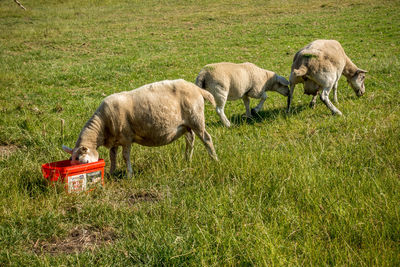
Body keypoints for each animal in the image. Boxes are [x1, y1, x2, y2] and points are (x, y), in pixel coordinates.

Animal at [61, 79, 219, 178]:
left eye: (84, 162)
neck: (102, 125)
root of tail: (197, 89)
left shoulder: (126, 137)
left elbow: (125, 156)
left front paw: (129, 175)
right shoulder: (115, 140)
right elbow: (112, 156)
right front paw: (111, 172)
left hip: (196, 119)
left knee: (207, 139)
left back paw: (214, 160)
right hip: (187, 125)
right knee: (190, 140)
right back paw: (187, 160)